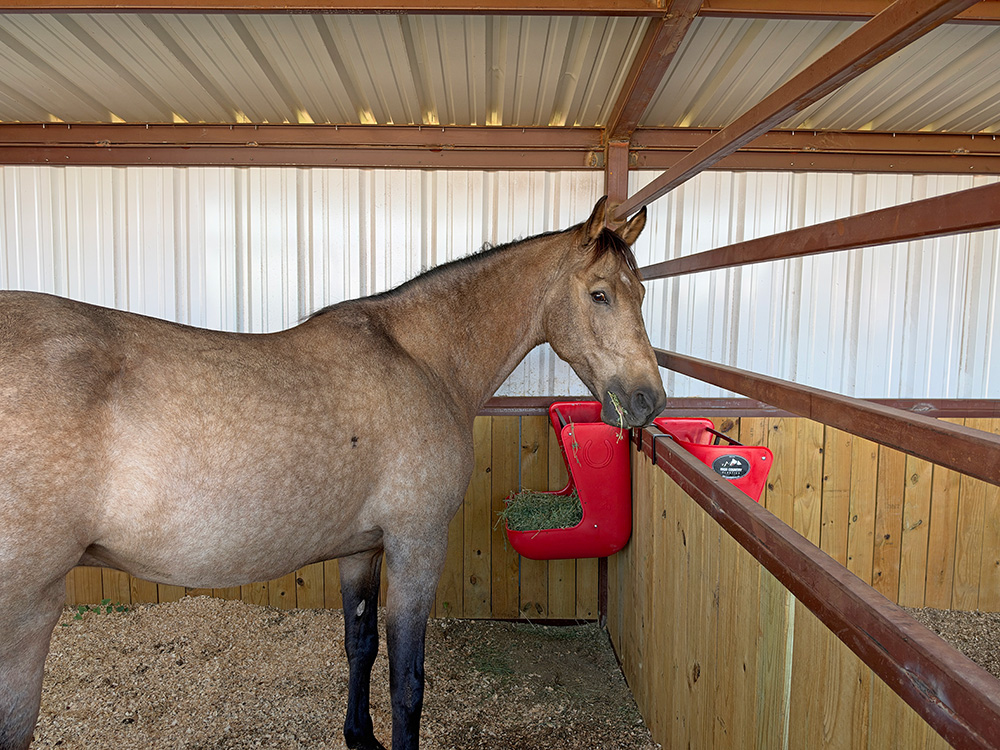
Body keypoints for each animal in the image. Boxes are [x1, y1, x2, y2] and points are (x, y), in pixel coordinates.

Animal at [0, 196, 666, 750]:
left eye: (641, 293)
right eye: (600, 294)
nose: (648, 400)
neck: (422, 359)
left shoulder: (361, 550)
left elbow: (360, 646)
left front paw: (360, 737)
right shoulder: (417, 544)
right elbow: (407, 678)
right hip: (25, 615)